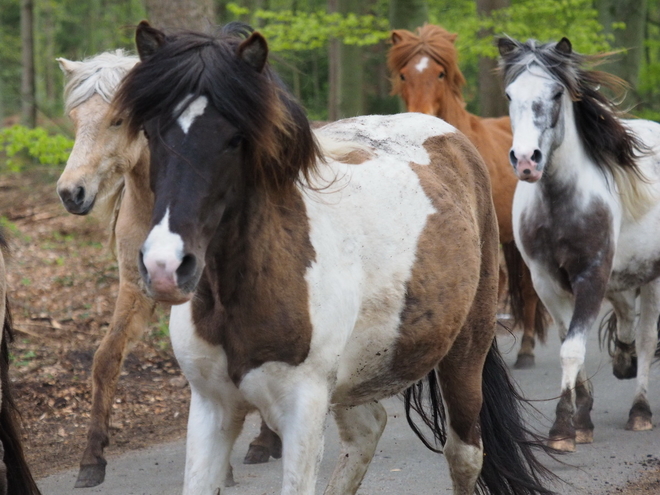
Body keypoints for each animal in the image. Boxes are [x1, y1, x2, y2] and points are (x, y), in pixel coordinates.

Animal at [57, 49, 282, 488]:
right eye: (74, 119)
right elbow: (106, 359)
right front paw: (92, 458)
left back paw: (266, 440)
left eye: (118, 119)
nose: (71, 193)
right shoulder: (134, 289)